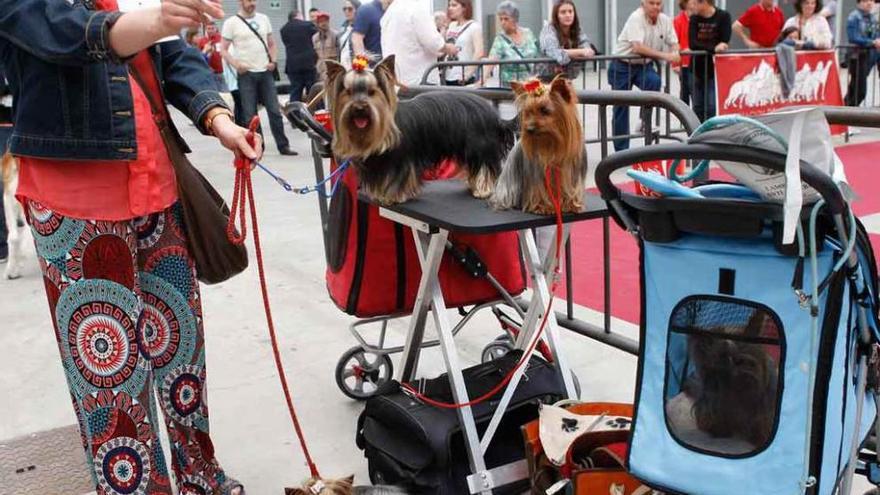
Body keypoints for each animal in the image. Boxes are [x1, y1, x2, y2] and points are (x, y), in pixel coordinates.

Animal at [324, 56, 516, 205]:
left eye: (372, 92)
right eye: (348, 92)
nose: (359, 107)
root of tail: (494, 116)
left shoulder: (399, 161)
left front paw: (393, 197)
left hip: (479, 147)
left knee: (485, 167)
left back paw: (483, 190)